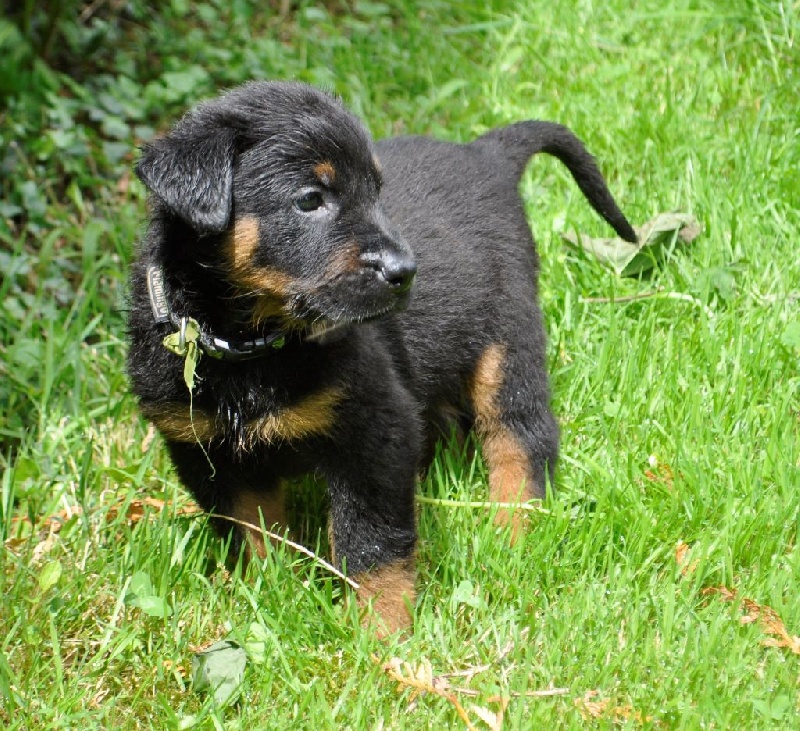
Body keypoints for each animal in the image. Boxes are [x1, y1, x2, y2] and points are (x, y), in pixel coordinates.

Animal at [127, 81, 636, 634]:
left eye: (376, 193)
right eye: (310, 200)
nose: (405, 271)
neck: (251, 348)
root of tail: (486, 154)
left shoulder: (375, 432)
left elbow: (371, 541)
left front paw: (380, 629)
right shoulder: (204, 450)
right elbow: (251, 529)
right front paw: (269, 591)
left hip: (507, 335)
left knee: (520, 434)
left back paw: (512, 528)